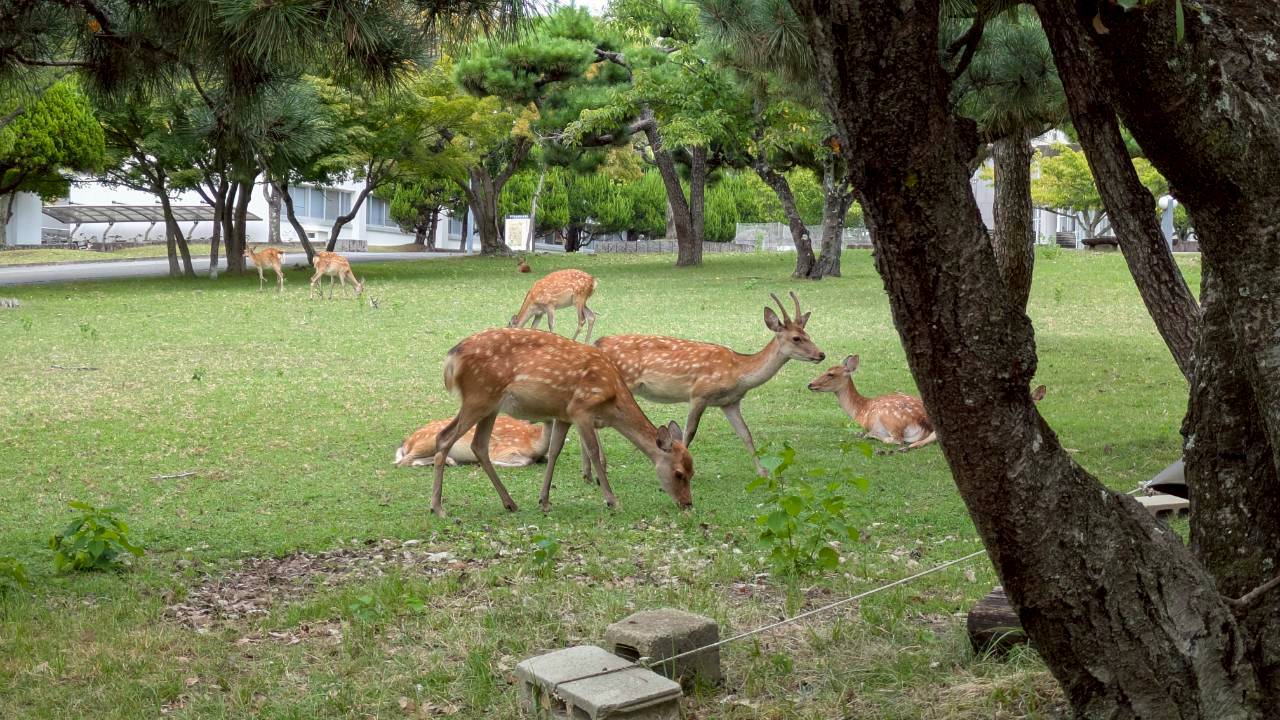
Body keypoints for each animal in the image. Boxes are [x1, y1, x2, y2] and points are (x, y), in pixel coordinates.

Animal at [395, 416, 551, 467]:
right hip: (429, 441)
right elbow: (526, 461)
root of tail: (406, 442)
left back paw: (450, 461)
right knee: (403, 462)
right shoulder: (503, 449)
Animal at [429, 327, 692, 516]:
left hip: (489, 405)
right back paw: (438, 508)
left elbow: (555, 450)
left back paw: (510, 503)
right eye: (679, 473)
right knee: (444, 437)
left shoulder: (563, 416)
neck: (612, 401)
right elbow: (593, 452)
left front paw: (544, 501)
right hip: (479, 396)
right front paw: (612, 500)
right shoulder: (581, 410)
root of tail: (451, 358)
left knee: (479, 445)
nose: (688, 503)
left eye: (693, 470)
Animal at [593, 292, 825, 478]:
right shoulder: (699, 394)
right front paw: (683, 466)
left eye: (808, 335)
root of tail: (598, 343)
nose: (821, 354)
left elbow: (746, 434)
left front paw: (763, 472)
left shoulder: (730, 402)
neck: (739, 372)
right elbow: (689, 432)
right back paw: (600, 466)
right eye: (796, 338)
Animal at [807, 355, 1048, 451]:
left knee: (895, 440)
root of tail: (924, 422)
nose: (810, 384)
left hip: (891, 421)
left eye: (830, 373)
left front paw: (863, 434)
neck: (860, 409)